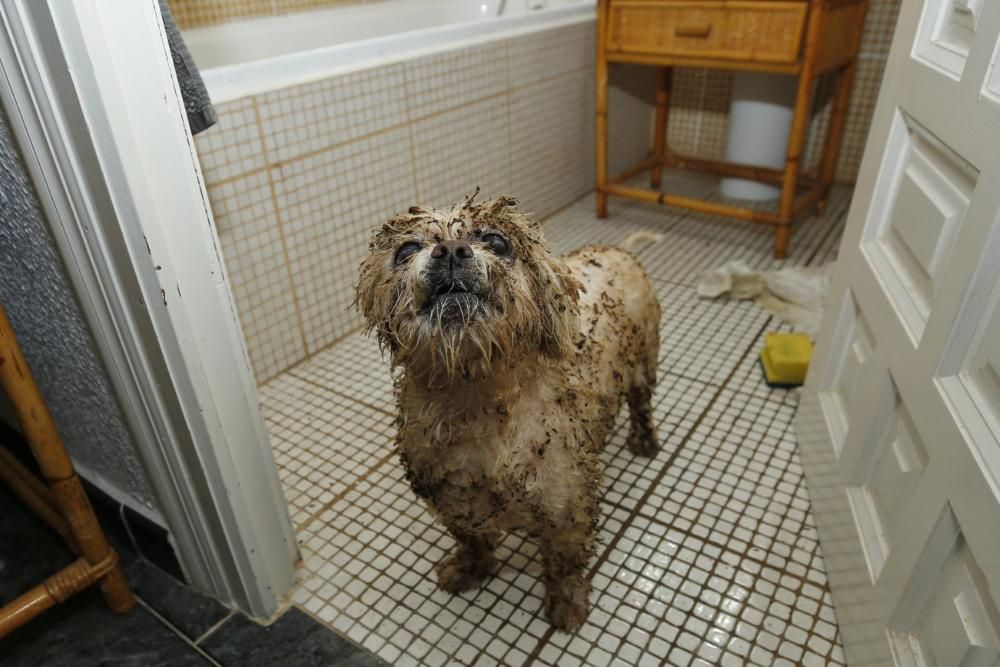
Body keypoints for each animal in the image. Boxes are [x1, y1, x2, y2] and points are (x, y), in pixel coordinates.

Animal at [356, 192, 660, 632]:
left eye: (497, 242)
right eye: (406, 250)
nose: (450, 249)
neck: (476, 403)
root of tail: (617, 250)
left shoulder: (568, 509)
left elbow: (565, 562)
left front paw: (566, 604)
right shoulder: (454, 502)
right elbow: (473, 540)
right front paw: (469, 568)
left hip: (644, 361)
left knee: (641, 402)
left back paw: (644, 440)